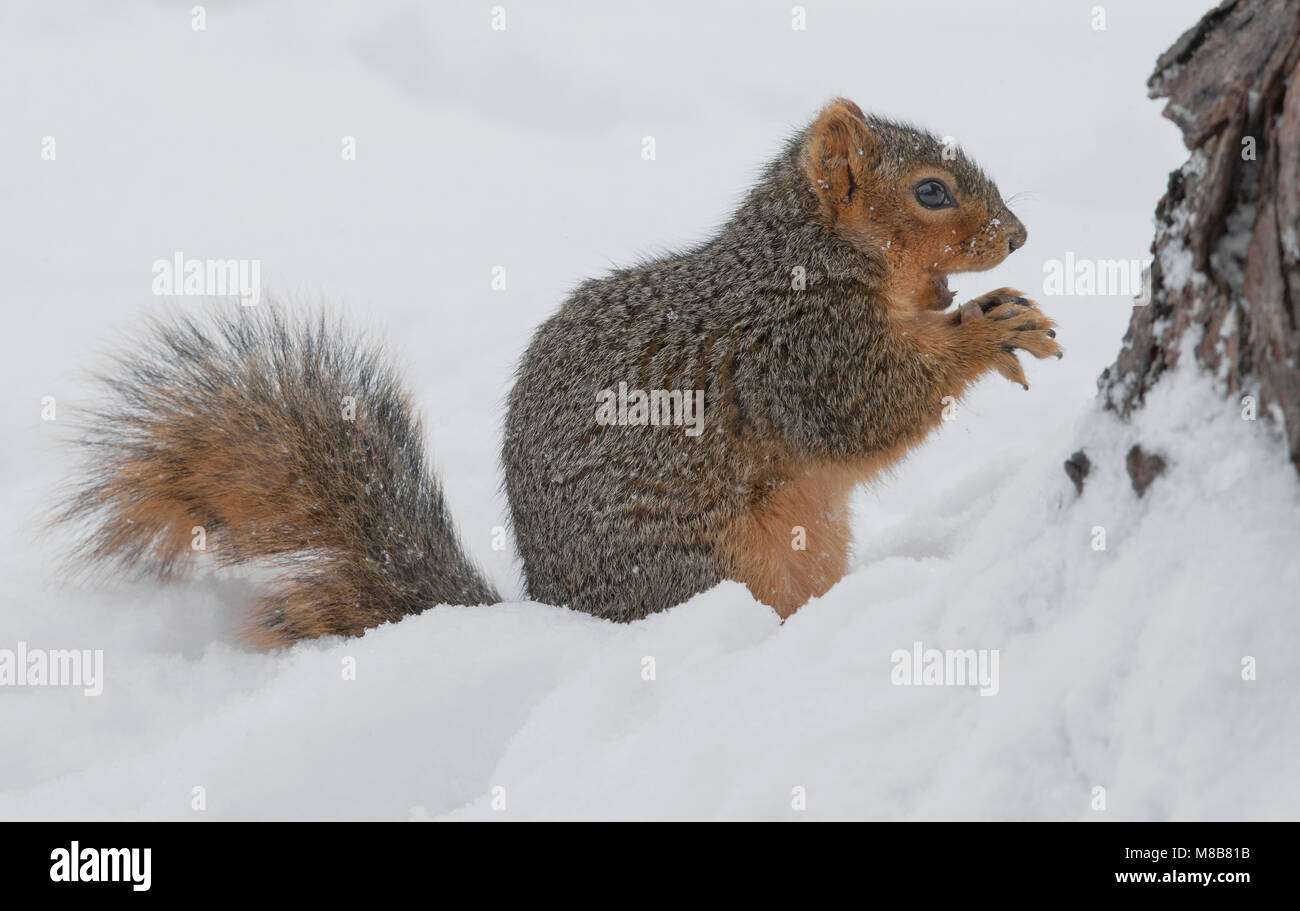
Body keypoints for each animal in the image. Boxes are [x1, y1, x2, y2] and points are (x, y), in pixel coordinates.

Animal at [57, 98, 1059, 647]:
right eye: (930, 190)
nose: (1016, 234)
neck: (812, 256)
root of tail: (558, 608)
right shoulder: (800, 346)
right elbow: (865, 411)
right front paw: (987, 328)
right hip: (697, 571)